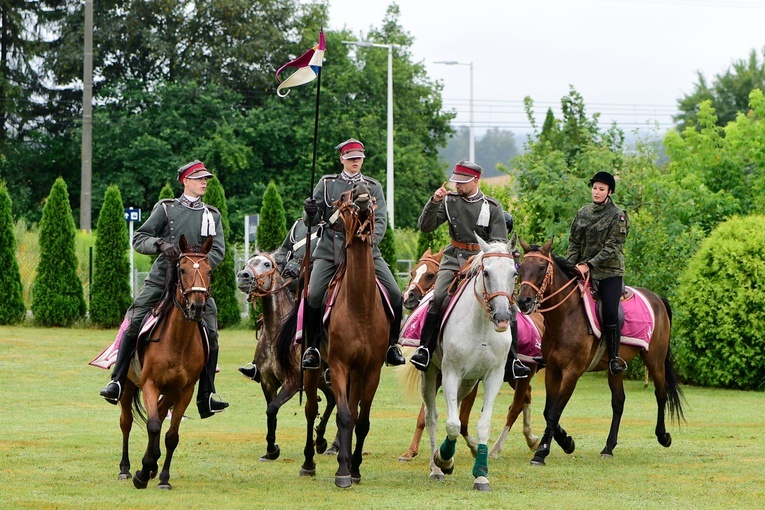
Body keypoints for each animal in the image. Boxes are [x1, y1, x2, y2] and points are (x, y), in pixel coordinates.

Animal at [119, 235, 215, 490]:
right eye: (182, 269)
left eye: (209, 271)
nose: (198, 307)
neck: (178, 341)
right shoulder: (149, 384)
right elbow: (152, 425)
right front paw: (142, 474)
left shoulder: (184, 390)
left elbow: (171, 435)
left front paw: (162, 477)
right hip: (128, 386)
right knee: (127, 422)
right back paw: (126, 469)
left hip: (170, 392)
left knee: (161, 415)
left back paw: (153, 463)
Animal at [234, 253, 336, 460]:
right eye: (248, 262)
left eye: (267, 264)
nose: (243, 276)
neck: (277, 332)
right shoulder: (268, 382)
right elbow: (270, 412)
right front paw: (270, 449)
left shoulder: (292, 382)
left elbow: (272, 408)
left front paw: (273, 449)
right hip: (320, 379)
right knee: (331, 399)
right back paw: (321, 440)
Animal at [418, 235, 520, 490]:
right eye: (487, 273)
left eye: (514, 273)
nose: (502, 317)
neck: (482, 325)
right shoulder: (451, 373)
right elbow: (452, 424)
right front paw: (443, 459)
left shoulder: (493, 376)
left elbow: (482, 424)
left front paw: (481, 473)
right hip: (431, 375)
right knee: (432, 417)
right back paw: (436, 467)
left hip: (468, 382)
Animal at [512, 239, 688, 466]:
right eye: (521, 268)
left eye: (542, 268)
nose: (523, 301)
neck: (566, 316)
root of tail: (656, 298)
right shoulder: (552, 370)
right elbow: (548, 411)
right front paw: (566, 442)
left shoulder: (572, 373)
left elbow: (554, 412)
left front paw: (541, 452)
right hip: (617, 367)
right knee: (618, 402)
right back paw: (608, 447)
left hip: (654, 360)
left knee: (661, 393)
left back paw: (663, 436)